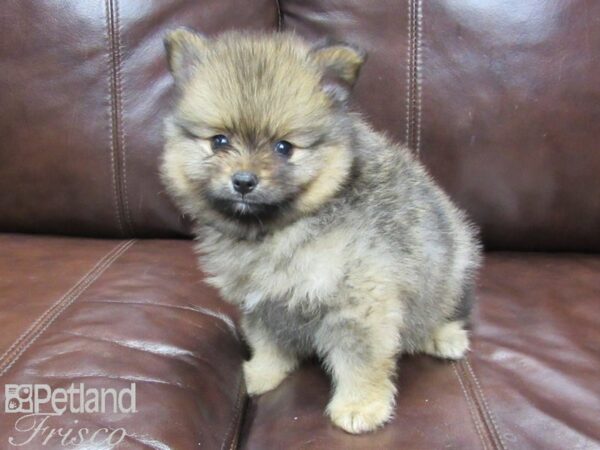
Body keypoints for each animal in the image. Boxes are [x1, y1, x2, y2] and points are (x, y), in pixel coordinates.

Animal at [161, 29, 482, 436]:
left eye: (284, 148)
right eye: (219, 141)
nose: (244, 181)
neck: (282, 229)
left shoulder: (359, 299)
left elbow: (360, 360)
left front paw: (360, 406)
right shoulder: (264, 301)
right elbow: (268, 344)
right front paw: (260, 374)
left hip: (454, 268)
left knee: (447, 311)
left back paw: (445, 337)